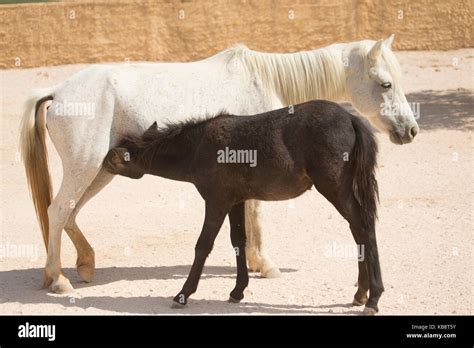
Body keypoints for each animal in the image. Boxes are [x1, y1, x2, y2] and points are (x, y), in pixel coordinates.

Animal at [19, 34, 418, 294]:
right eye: (385, 84)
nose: (411, 130)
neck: (266, 80)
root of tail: (58, 91)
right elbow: (256, 216)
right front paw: (265, 265)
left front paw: (254, 264)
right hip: (85, 167)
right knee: (59, 211)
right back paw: (57, 278)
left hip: (100, 170)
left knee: (69, 212)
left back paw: (84, 264)